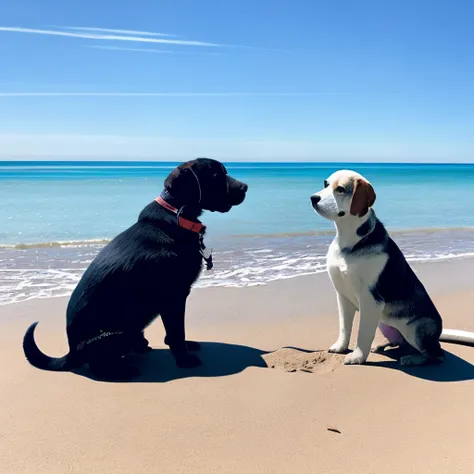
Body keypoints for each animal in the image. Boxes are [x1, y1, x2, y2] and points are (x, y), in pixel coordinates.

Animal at [22, 157, 248, 380]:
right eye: (216, 175)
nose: (245, 187)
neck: (178, 214)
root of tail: (72, 352)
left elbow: (175, 332)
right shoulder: (174, 296)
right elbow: (176, 332)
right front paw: (184, 360)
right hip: (120, 333)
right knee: (97, 365)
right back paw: (123, 370)